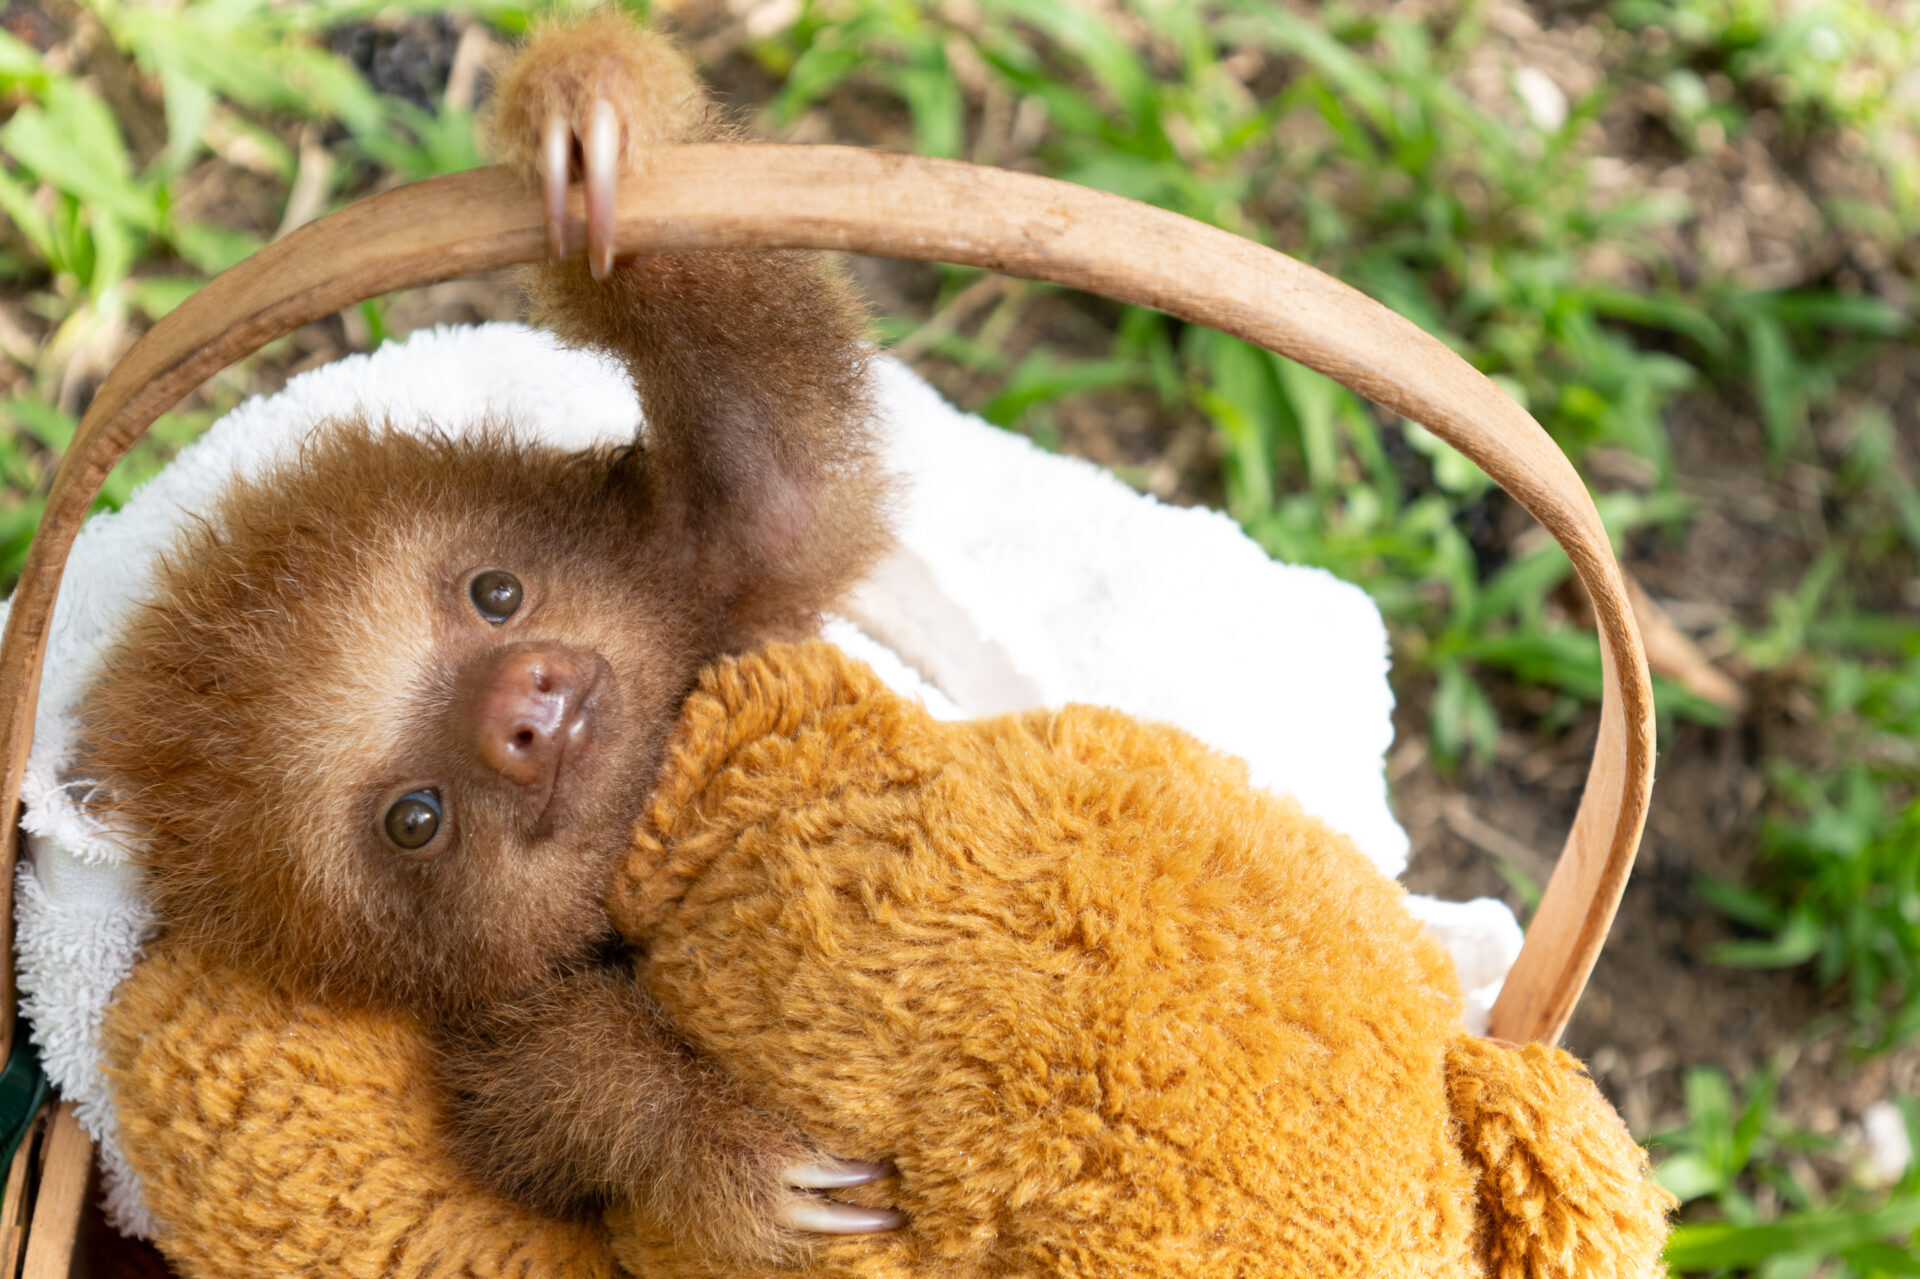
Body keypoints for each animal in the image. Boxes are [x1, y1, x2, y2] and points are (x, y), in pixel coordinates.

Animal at [76, 12, 903, 1262]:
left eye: (497, 591)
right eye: (414, 818)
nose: (528, 702)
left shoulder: (725, 587)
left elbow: (780, 453)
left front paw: (590, 122)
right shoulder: (483, 1018)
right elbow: (526, 1102)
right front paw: (724, 1152)